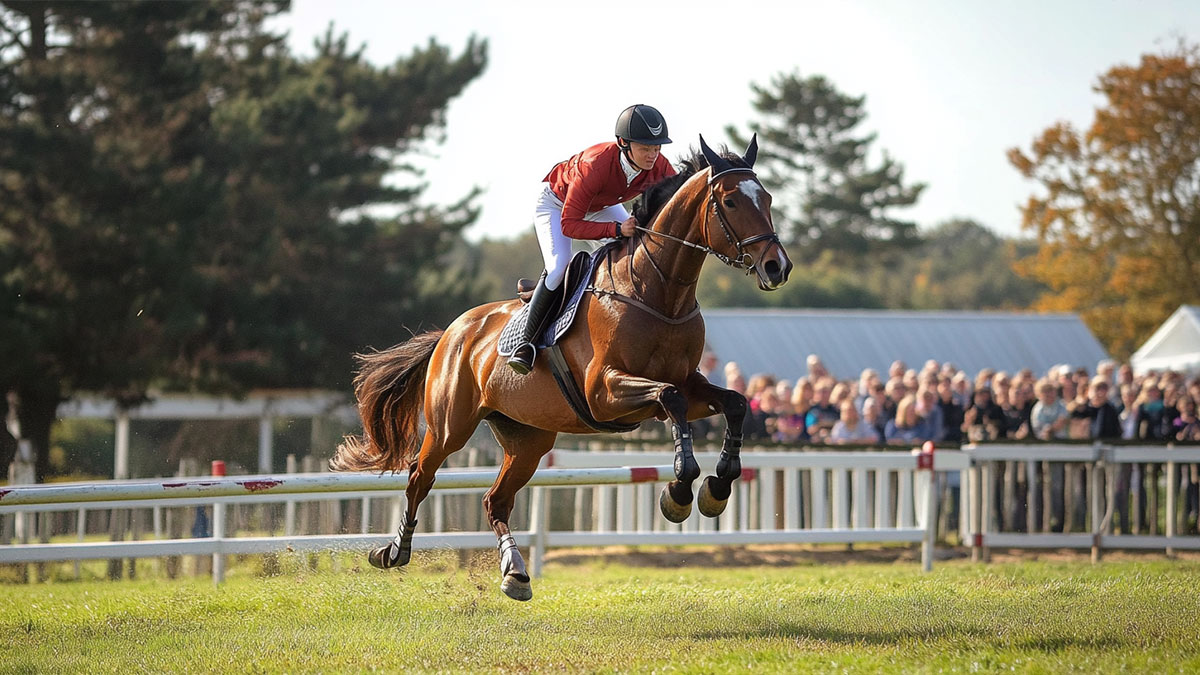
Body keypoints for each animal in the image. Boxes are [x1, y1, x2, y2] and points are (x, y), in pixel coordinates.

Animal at [333, 133, 792, 595]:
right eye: (730, 201)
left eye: (768, 197)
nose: (778, 267)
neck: (657, 293)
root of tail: (451, 332)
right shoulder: (604, 393)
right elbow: (671, 399)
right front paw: (679, 491)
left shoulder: (689, 383)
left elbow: (733, 402)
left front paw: (717, 486)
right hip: (450, 427)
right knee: (418, 478)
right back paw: (394, 552)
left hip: (529, 438)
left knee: (495, 500)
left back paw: (515, 572)